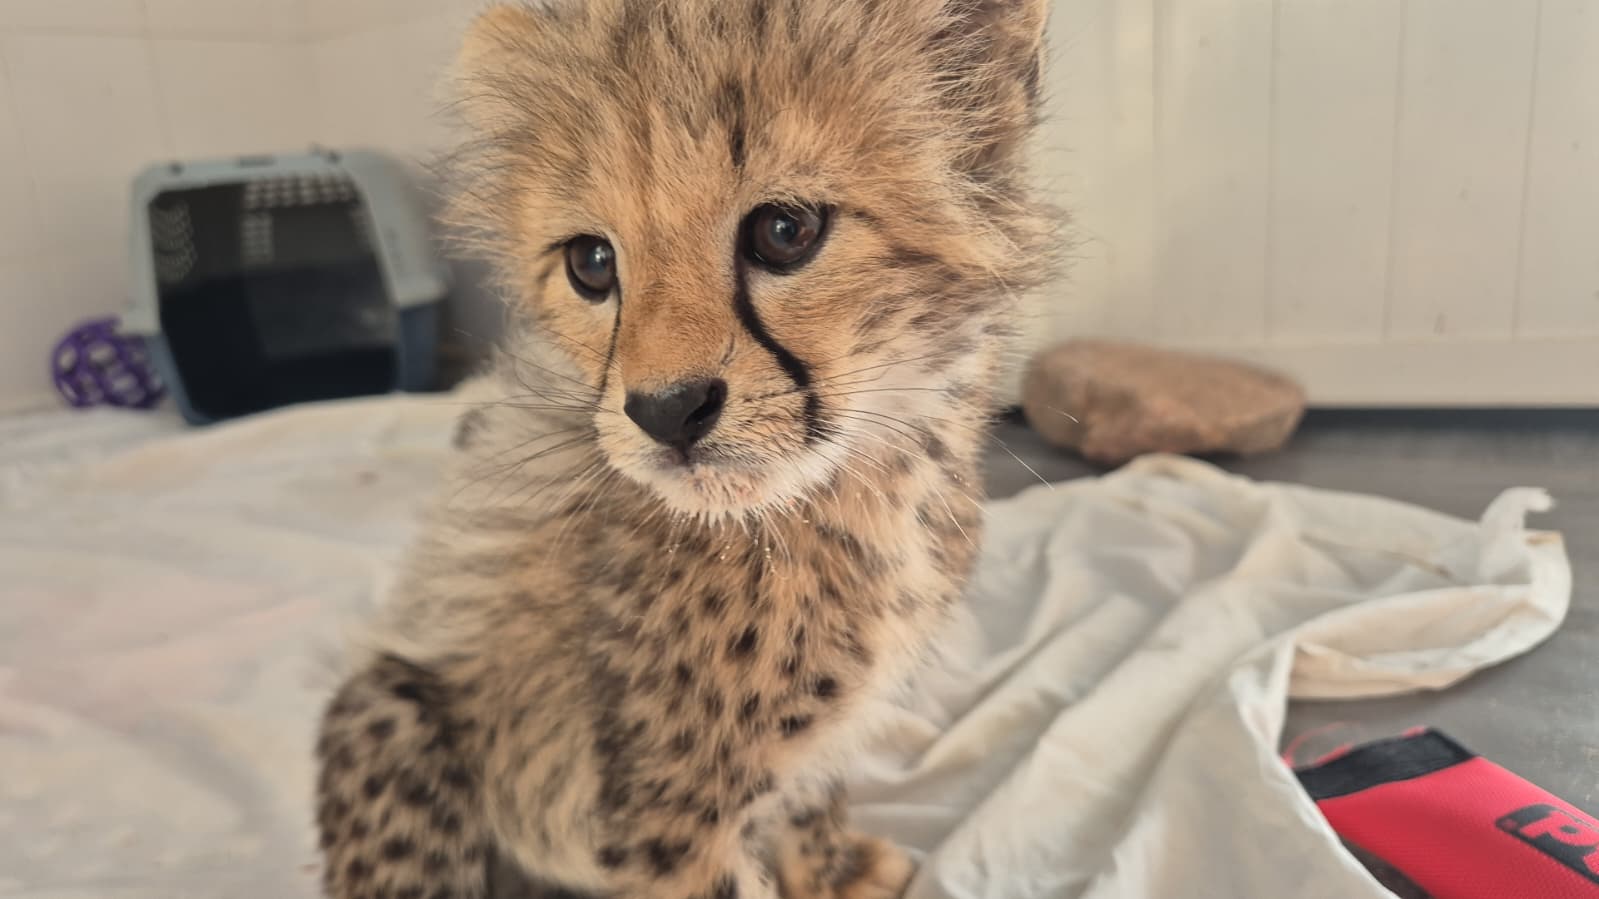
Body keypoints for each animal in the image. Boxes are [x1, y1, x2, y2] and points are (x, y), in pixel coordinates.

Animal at [312, 0, 1056, 896]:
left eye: (784, 230)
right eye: (592, 261)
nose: (665, 411)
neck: (864, 490)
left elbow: (811, 782)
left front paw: (832, 867)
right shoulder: (667, 818)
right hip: (394, 710)